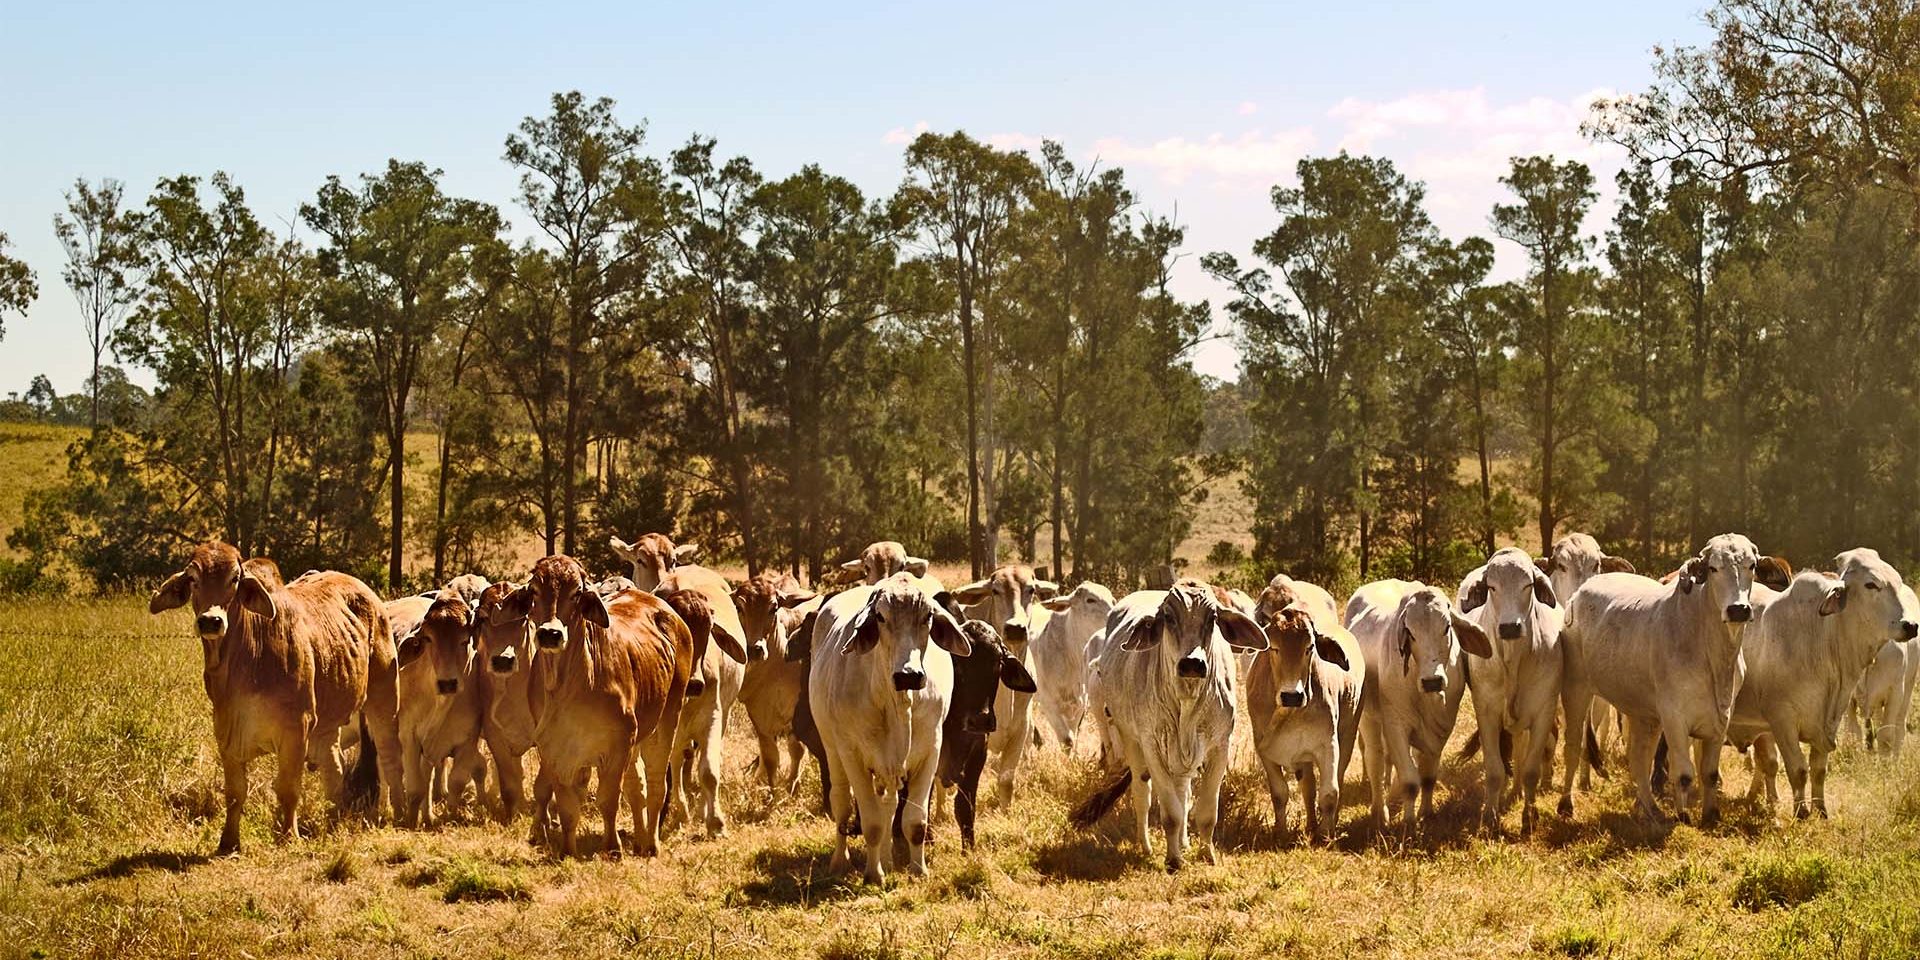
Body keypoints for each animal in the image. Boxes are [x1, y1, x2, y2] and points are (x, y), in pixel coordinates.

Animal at [149, 541, 405, 856]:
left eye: (235, 578)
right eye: (193, 579)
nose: (210, 621)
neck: (246, 660)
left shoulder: (296, 729)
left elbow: (287, 788)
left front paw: (288, 836)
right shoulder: (226, 734)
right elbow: (235, 793)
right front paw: (228, 842)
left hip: (384, 696)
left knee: (390, 756)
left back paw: (401, 814)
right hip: (328, 723)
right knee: (335, 768)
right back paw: (334, 820)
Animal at [806, 572, 967, 879]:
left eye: (928, 616)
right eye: (880, 617)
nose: (909, 674)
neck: (896, 703)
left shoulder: (930, 751)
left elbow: (914, 822)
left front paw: (918, 870)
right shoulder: (853, 756)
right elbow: (871, 823)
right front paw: (873, 874)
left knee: (889, 806)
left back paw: (888, 859)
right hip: (833, 749)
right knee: (842, 803)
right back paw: (841, 860)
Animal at [1067, 579, 1274, 875]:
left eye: (1212, 618)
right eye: (1167, 617)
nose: (1192, 664)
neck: (1186, 702)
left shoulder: (1220, 745)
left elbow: (1206, 811)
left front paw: (1207, 854)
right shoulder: (1152, 746)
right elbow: (1171, 813)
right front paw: (1173, 860)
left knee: (1183, 792)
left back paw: (1184, 842)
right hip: (1131, 741)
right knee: (1142, 793)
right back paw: (1146, 846)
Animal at [1344, 576, 1489, 833]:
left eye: (1447, 627)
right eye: (1410, 632)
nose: (1432, 681)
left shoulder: (1442, 727)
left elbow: (1428, 776)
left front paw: (1426, 813)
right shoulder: (1396, 726)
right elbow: (1411, 780)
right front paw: (1409, 822)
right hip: (1369, 719)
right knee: (1375, 760)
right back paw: (1380, 811)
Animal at [1735, 549, 1912, 817]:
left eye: (1898, 583)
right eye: (1871, 584)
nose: (1911, 625)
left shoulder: (1831, 719)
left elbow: (1818, 770)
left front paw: (1820, 810)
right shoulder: (1781, 720)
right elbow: (1798, 770)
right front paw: (1800, 812)